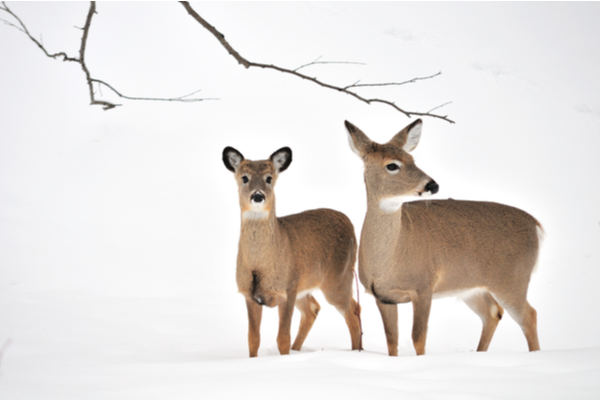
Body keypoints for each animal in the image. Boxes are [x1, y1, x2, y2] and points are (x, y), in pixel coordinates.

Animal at [220, 146, 360, 356]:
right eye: (244, 177)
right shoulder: (249, 294)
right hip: (307, 286)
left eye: (269, 178)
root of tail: (350, 224)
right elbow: (253, 338)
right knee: (314, 309)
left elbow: (282, 338)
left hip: (338, 279)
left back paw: (356, 352)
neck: (260, 265)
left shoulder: (287, 289)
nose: (258, 196)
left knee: (352, 312)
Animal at [344, 119, 540, 356]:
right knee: (493, 313)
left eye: (412, 159)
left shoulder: (424, 285)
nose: (432, 185)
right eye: (392, 165)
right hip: (471, 287)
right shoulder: (383, 296)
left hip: (513, 279)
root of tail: (536, 225)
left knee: (528, 316)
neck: (389, 260)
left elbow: (418, 337)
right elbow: (392, 339)